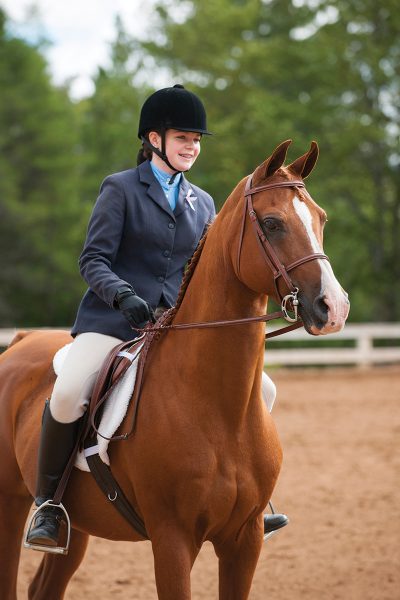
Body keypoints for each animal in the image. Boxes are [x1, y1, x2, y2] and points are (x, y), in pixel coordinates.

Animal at [0, 138, 350, 596]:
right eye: (273, 223)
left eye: (321, 219)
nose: (334, 308)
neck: (217, 409)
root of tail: (23, 341)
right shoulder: (173, 540)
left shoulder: (245, 540)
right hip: (9, 502)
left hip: (78, 527)